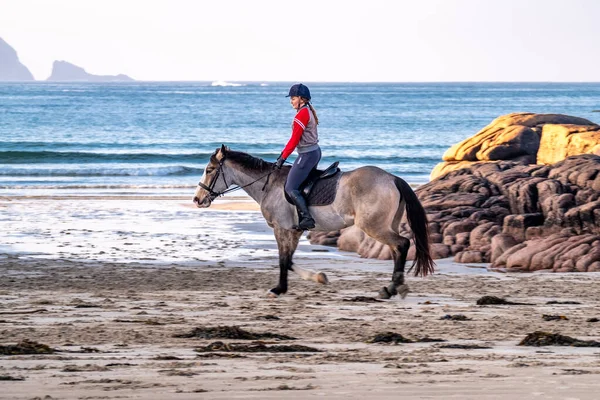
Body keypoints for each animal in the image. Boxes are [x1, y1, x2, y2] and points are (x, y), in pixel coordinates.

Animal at [195, 145, 434, 298]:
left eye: (209, 170)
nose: (197, 199)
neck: (268, 185)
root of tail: (392, 178)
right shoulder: (295, 231)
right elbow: (289, 260)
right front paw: (319, 277)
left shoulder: (281, 229)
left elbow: (283, 260)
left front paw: (278, 289)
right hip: (386, 224)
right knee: (396, 249)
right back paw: (393, 287)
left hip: (373, 226)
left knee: (402, 244)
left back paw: (393, 287)